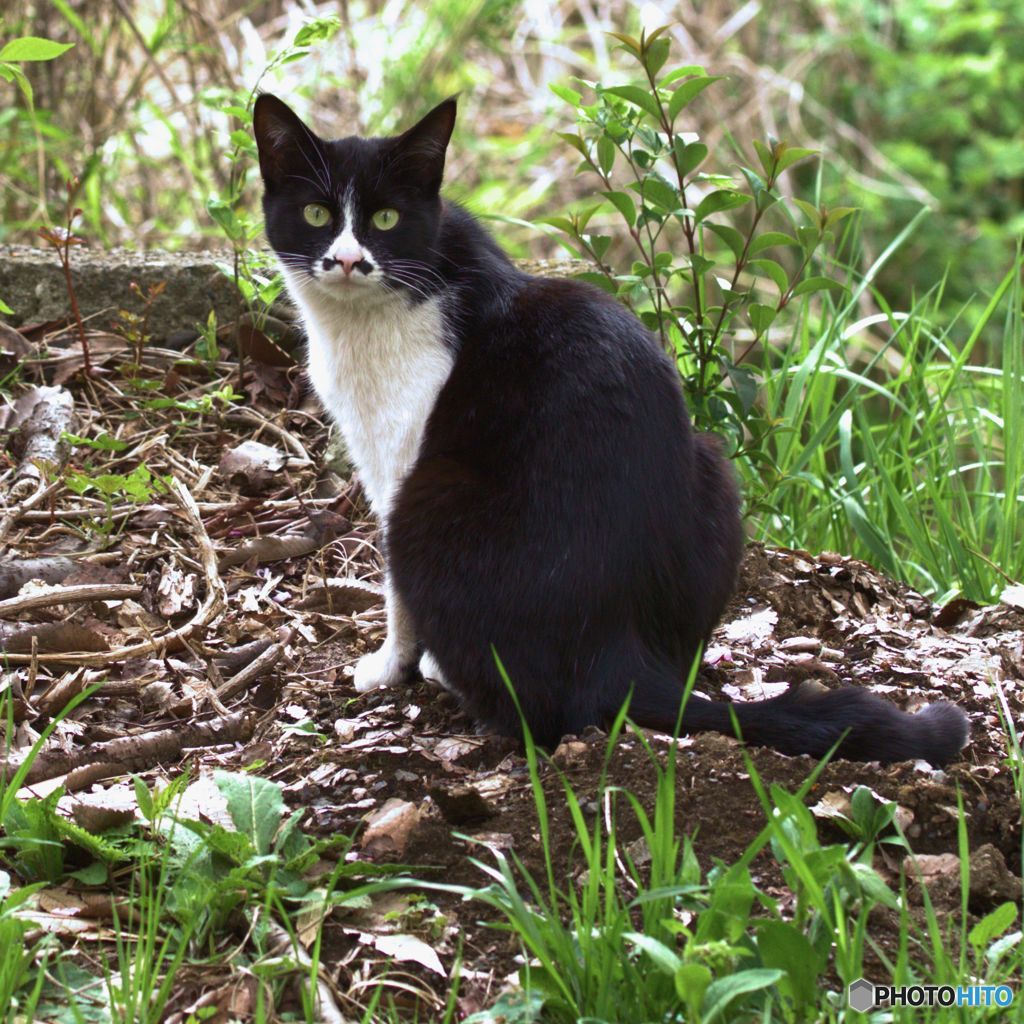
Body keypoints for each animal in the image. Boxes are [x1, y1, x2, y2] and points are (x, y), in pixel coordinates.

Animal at [249, 94, 966, 770]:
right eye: (316, 215)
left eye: (386, 220)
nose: (347, 260)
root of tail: (613, 650)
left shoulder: (396, 454)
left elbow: (395, 595)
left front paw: (391, 664)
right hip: (709, 463)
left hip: (433, 494)